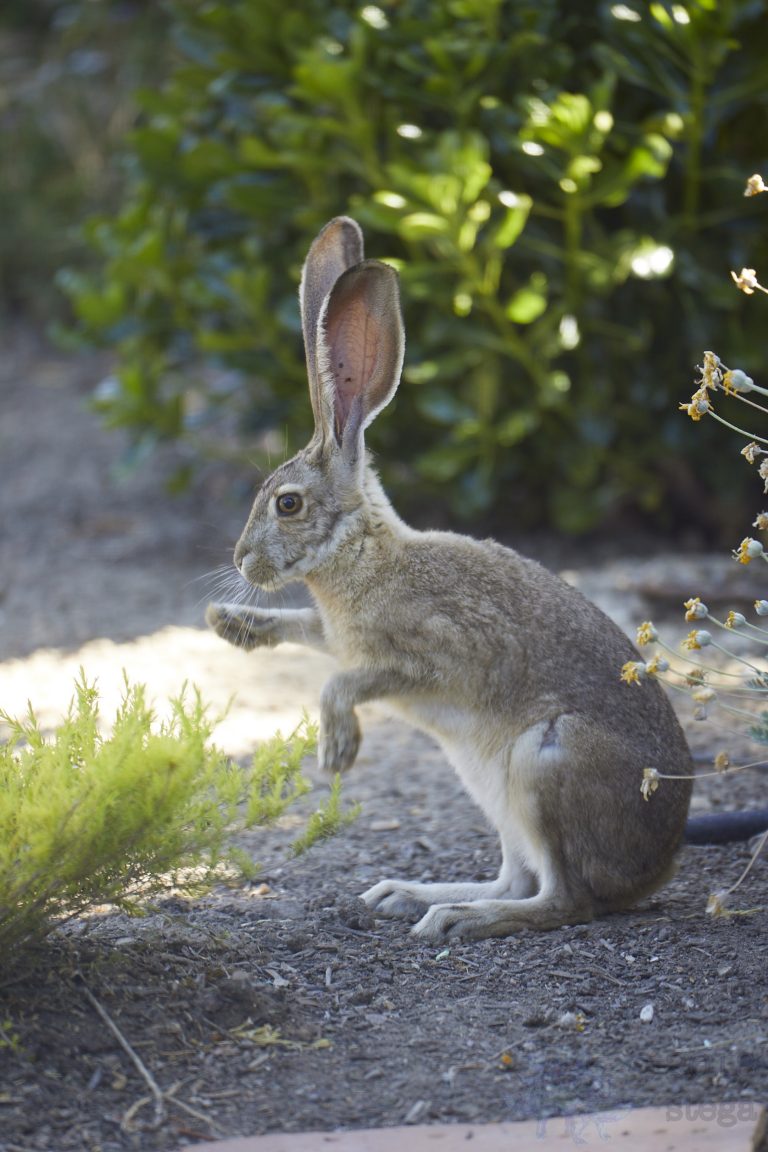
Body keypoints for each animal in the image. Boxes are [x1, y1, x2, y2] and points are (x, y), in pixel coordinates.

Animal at [206, 216, 694, 941]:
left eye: (287, 504)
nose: (242, 562)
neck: (364, 554)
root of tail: (656, 868)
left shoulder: (432, 656)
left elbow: (344, 683)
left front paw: (337, 751)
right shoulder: (337, 635)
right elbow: (307, 631)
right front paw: (232, 625)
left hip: (544, 764)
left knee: (565, 900)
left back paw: (459, 918)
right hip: (493, 790)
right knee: (520, 877)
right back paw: (410, 896)